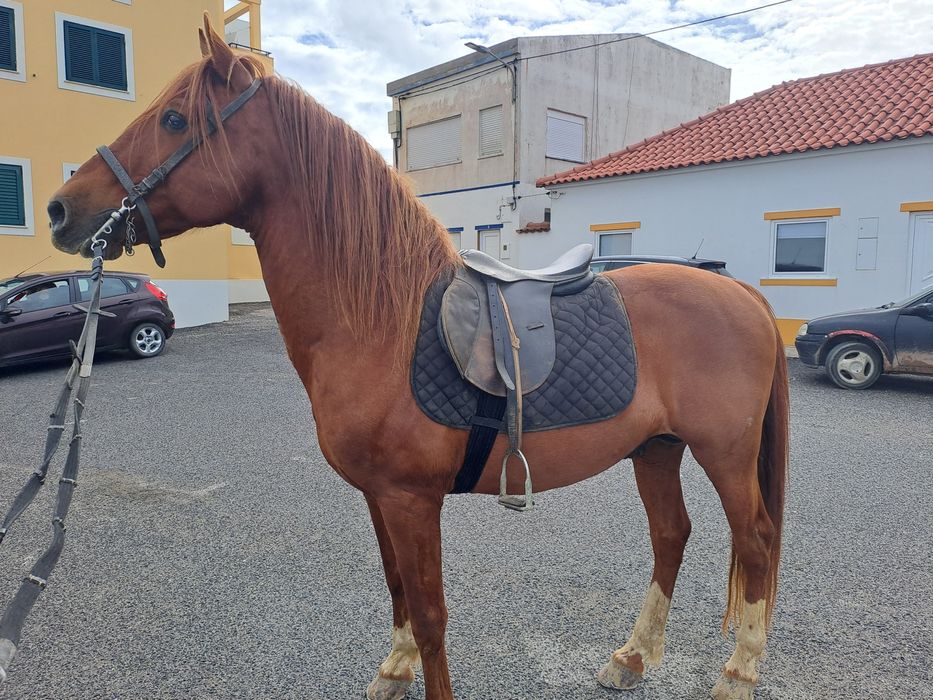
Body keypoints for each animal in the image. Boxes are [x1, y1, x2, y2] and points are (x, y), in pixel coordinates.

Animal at [48, 17, 788, 700]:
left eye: (174, 119)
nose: (61, 210)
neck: (381, 322)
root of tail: (739, 293)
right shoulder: (379, 496)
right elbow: (396, 586)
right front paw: (393, 667)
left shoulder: (410, 500)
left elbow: (432, 615)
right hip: (657, 448)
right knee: (671, 535)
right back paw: (632, 658)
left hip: (722, 453)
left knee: (754, 541)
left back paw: (737, 674)